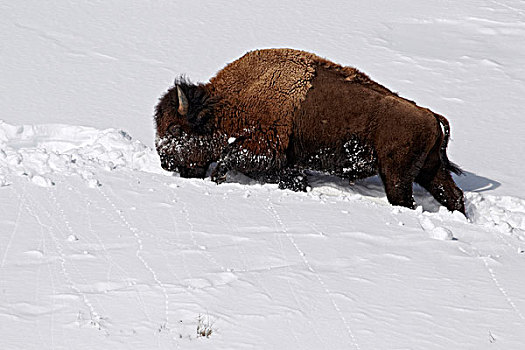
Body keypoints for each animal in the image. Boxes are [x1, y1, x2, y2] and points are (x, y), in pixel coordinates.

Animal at [154, 48, 464, 215]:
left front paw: (218, 178)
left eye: (175, 128)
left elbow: (229, 159)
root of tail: (429, 115)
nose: (165, 162)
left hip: (397, 176)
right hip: (429, 170)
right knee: (453, 195)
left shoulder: (261, 150)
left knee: (406, 200)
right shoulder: (282, 161)